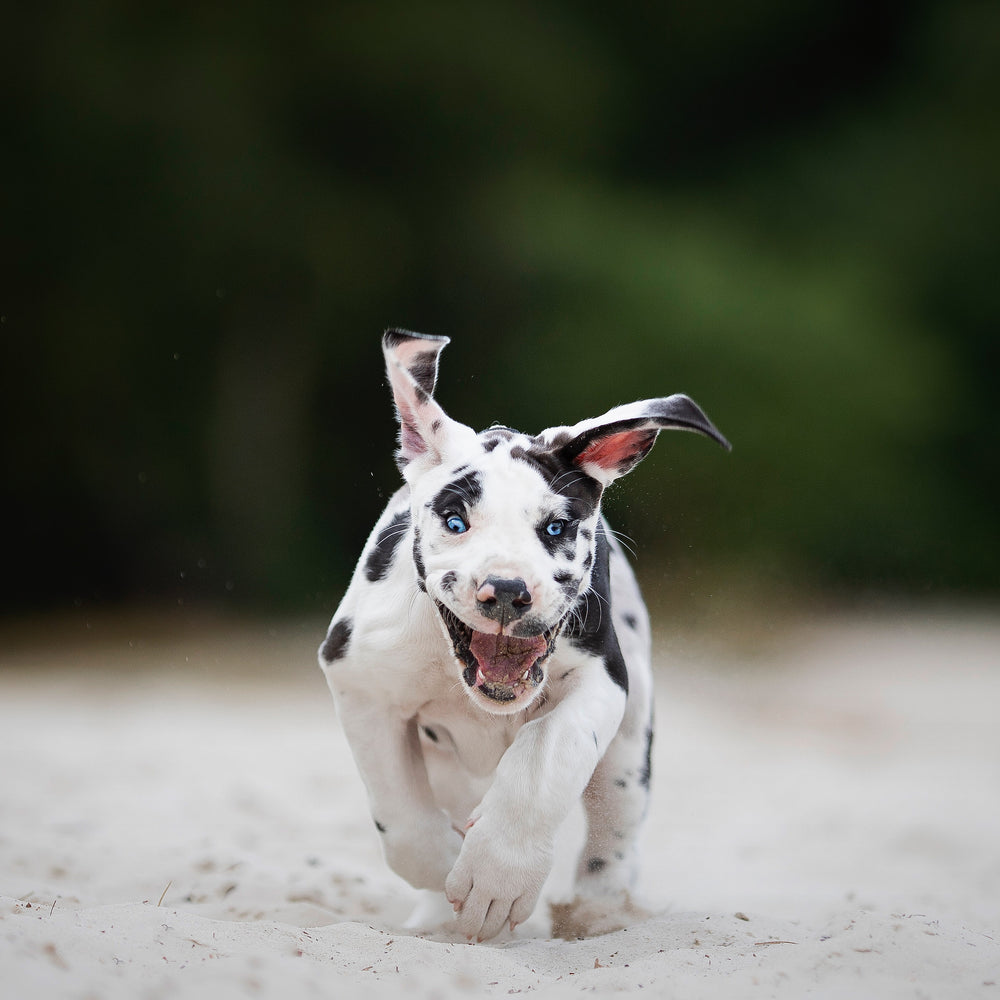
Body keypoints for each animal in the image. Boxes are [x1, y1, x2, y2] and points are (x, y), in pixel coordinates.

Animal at [318, 328, 728, 936]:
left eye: (556, 528)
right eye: (455, 521)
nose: (508, 590)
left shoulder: (602, 681)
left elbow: (545, 755)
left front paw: (496, 876)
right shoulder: (363, 683)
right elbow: (402, 815)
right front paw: (447, 868)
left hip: (630, 746)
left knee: (615, 834)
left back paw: (600, 911)